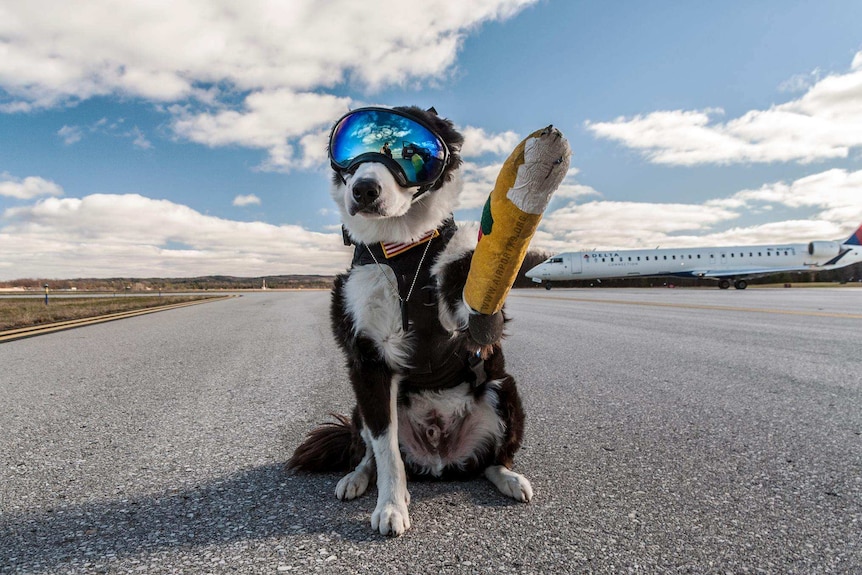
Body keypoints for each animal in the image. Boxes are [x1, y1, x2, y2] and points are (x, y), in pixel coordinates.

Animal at [290, 106, 532, 536]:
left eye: (411, 148)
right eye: (350, 153)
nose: (364, 190)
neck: (401, 251)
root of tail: (440, 458)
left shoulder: (472, 316)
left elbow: (474, 300)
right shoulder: (366, 361)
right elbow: (386, 450)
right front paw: (391, 506)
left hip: (505, 389)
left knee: (490, 461)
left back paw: (509, 478)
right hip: (359, 408)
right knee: (368, 450)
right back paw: (357, 477)